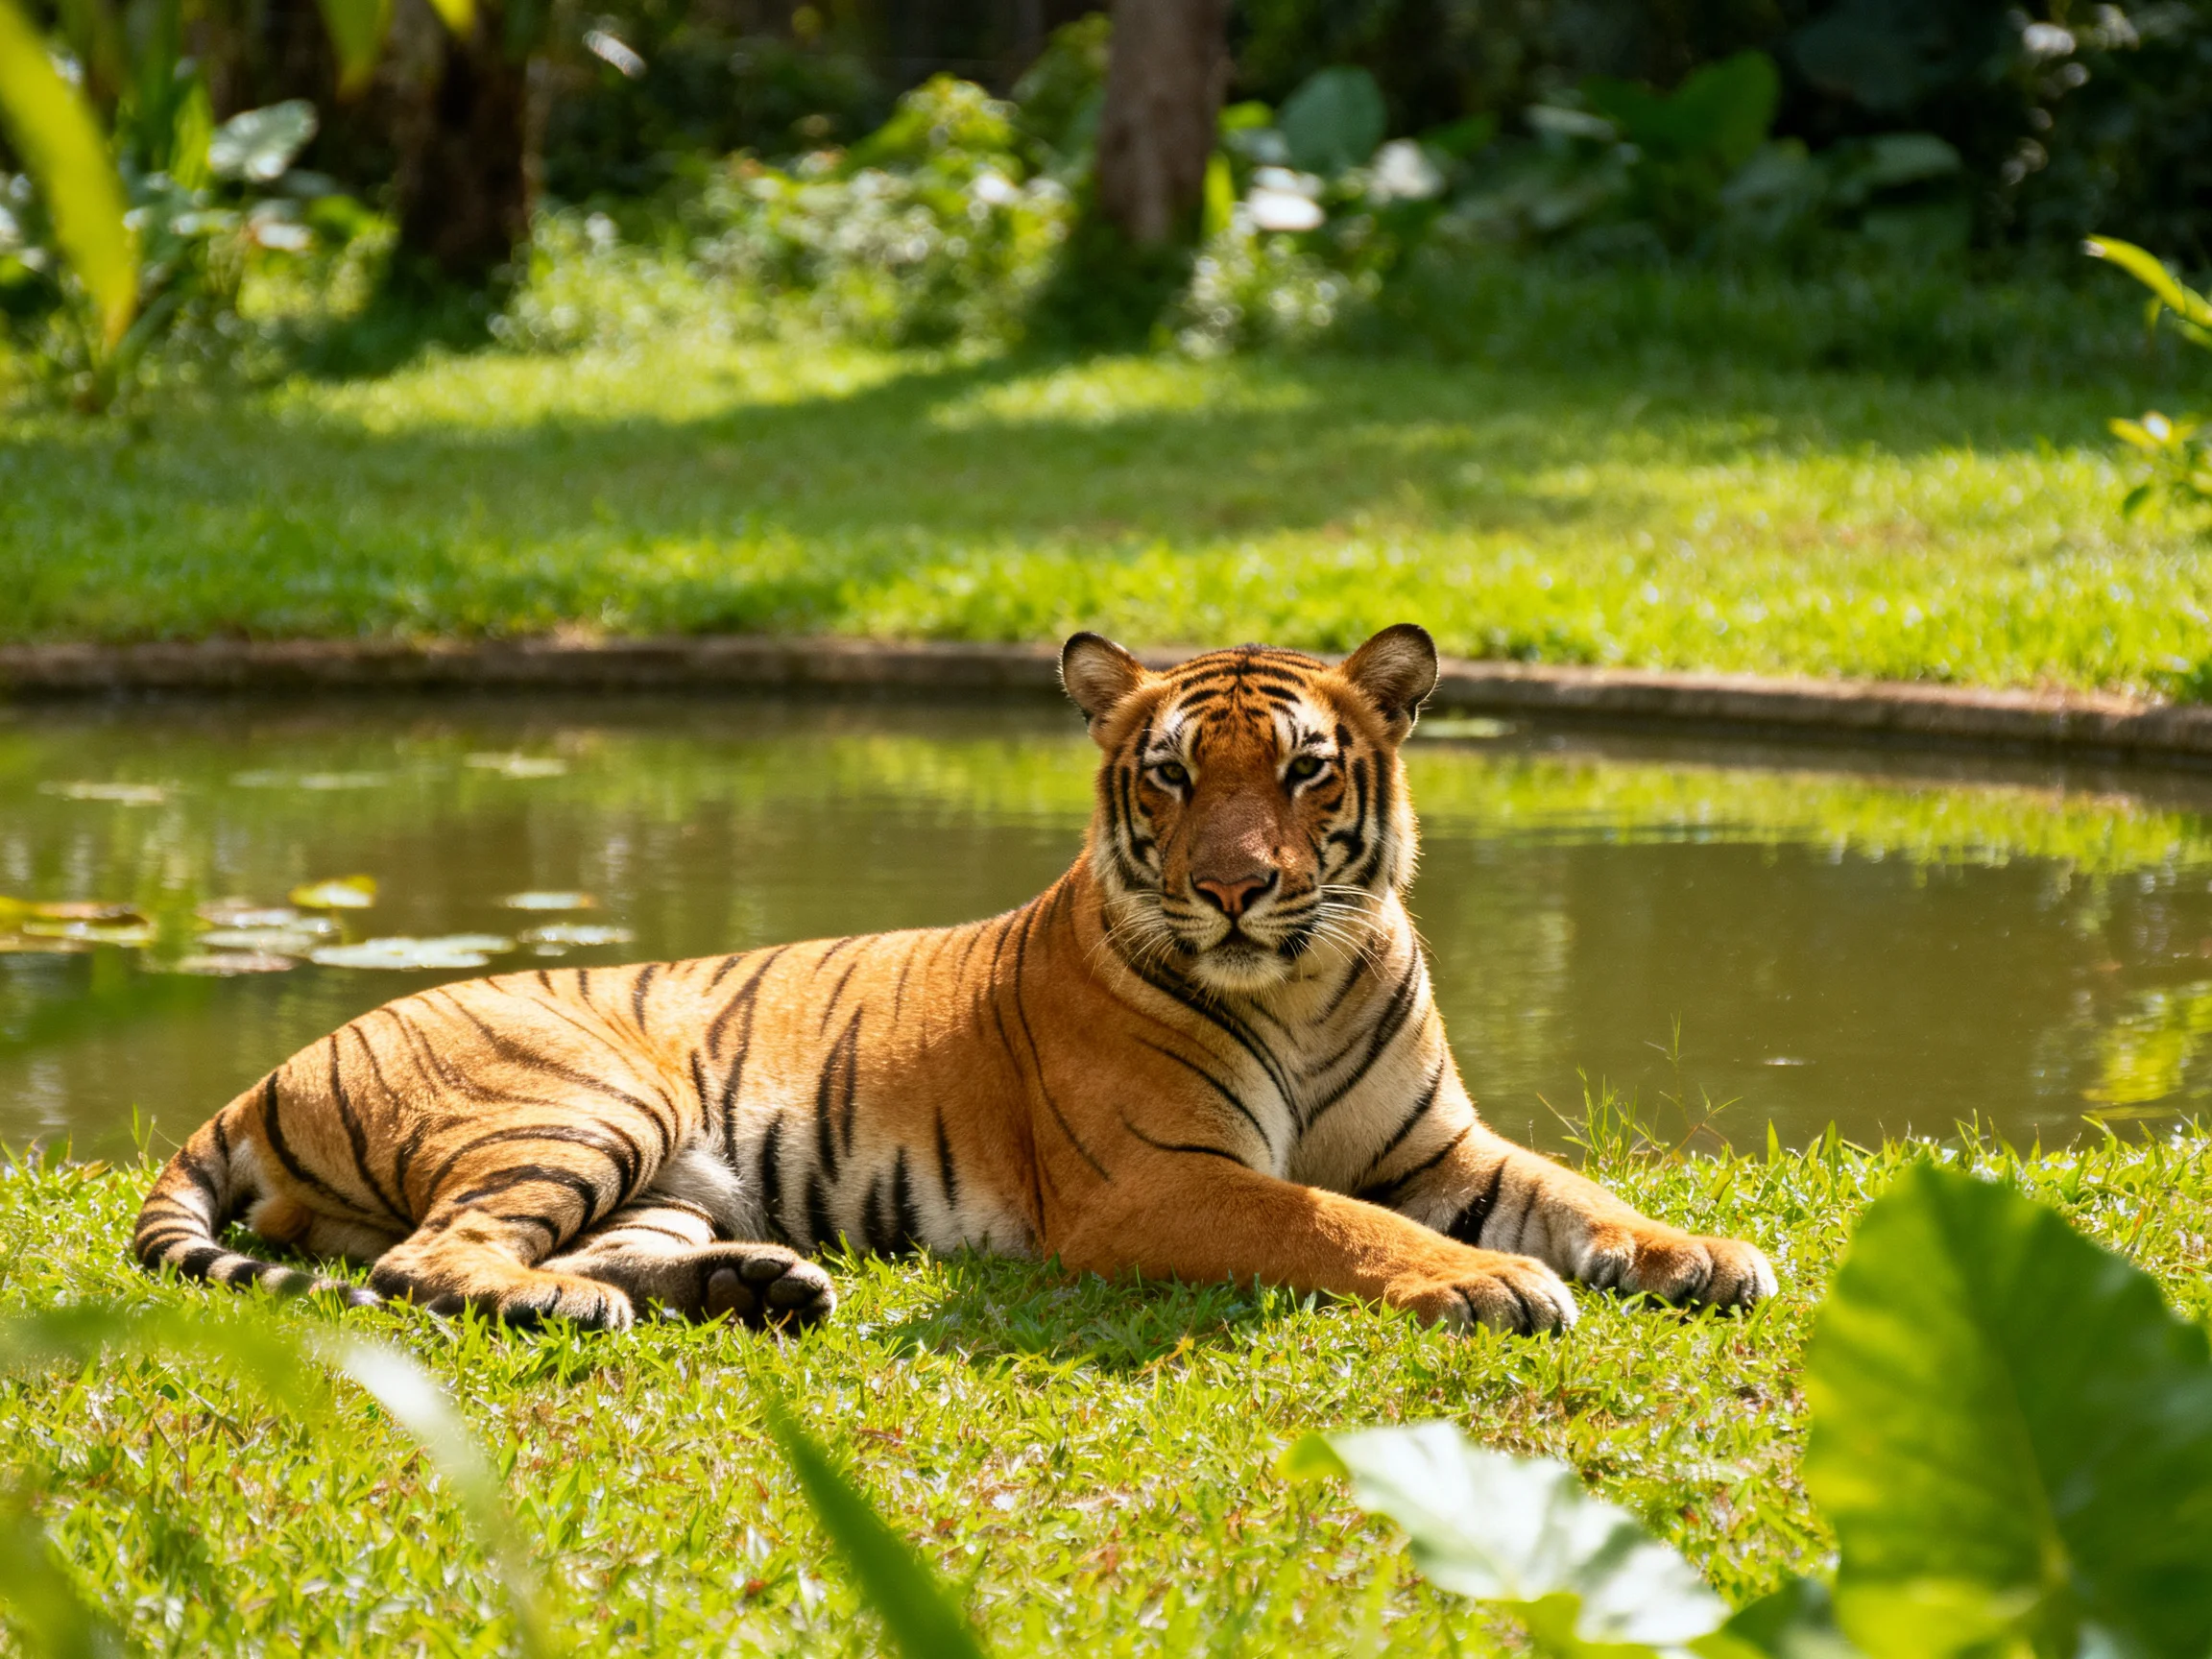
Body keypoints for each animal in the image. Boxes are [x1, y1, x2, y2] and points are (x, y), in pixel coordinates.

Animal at [134, 625, 1775, 1335]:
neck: (1301, 984)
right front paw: (1489, 1281)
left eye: (1307, 772)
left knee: (562, 1250)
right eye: (1173, 777)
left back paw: (758, 1286)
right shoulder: (1162, 1181)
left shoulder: (1442, 1147)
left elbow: (1579, 1194)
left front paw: (1703, 1255)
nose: (1235, 887)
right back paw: (593, 1309)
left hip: (669, 1178)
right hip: (583, 1106)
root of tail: (262, 1073)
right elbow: (1338, 1223)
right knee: (433, 1263)